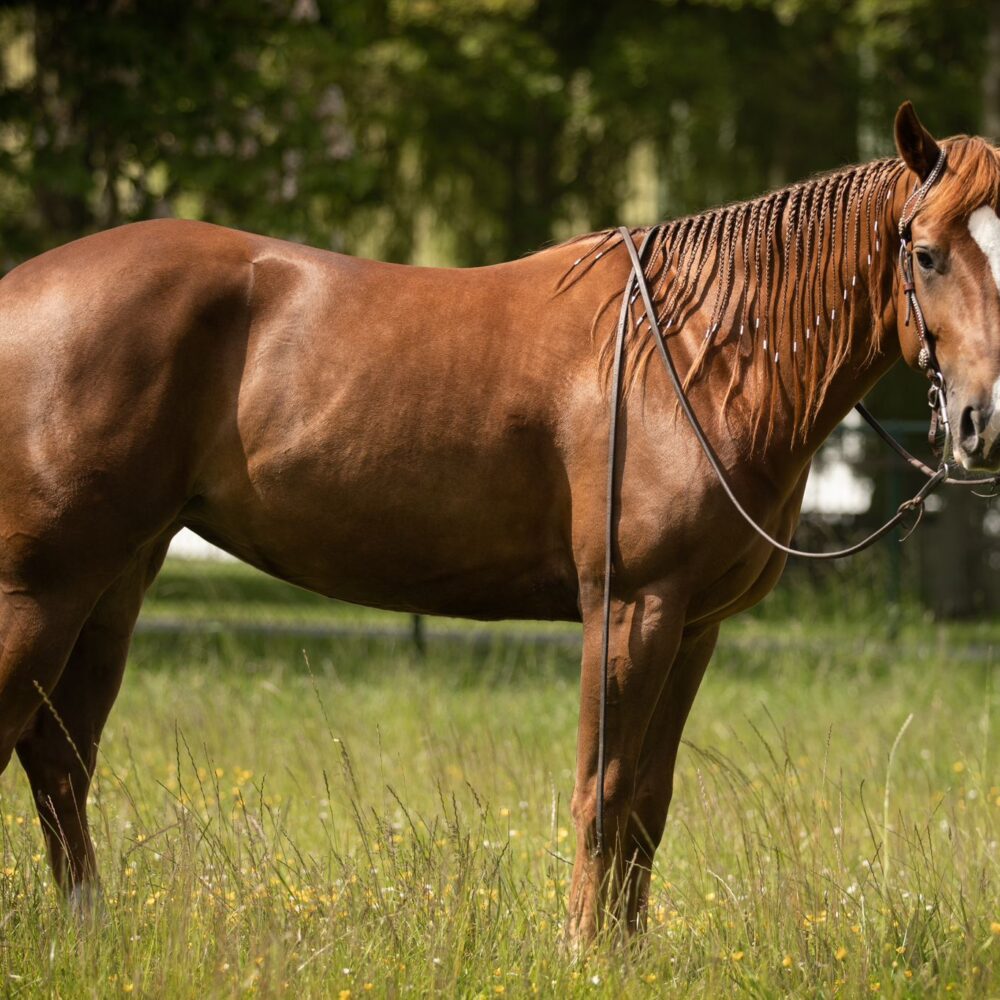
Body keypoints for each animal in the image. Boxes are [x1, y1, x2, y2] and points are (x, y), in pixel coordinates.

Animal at [0, 101, 998, 942]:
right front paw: (585, 953)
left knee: (59, 759)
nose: (981, 420)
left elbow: (649, 802)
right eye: (924, 252)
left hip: (116, 580)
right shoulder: (630, 611)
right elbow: (602, 793)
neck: (698, 352)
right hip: (43, 589)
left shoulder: (694, 626)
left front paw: (627, 954)